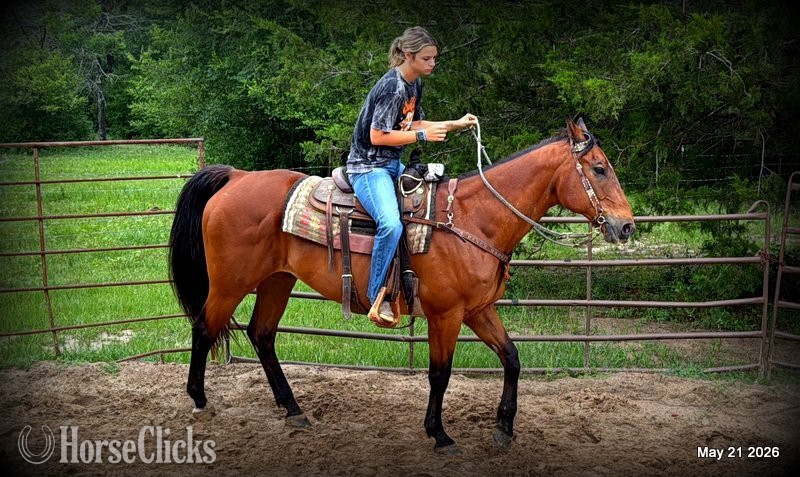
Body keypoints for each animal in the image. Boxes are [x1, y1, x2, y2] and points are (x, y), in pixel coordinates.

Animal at [168, 118, 635, 454]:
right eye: (599, 169)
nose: (626, 226)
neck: (473, 218)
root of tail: (236, 176)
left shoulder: (479, 311)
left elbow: (512, 358)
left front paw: (504, 429)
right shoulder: (446, 314)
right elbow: (440, 374)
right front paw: (440, 435)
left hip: (276, 281)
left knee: (261, 334)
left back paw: (294, 409)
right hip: (230, 283)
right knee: (204, 328)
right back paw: (199, 400)